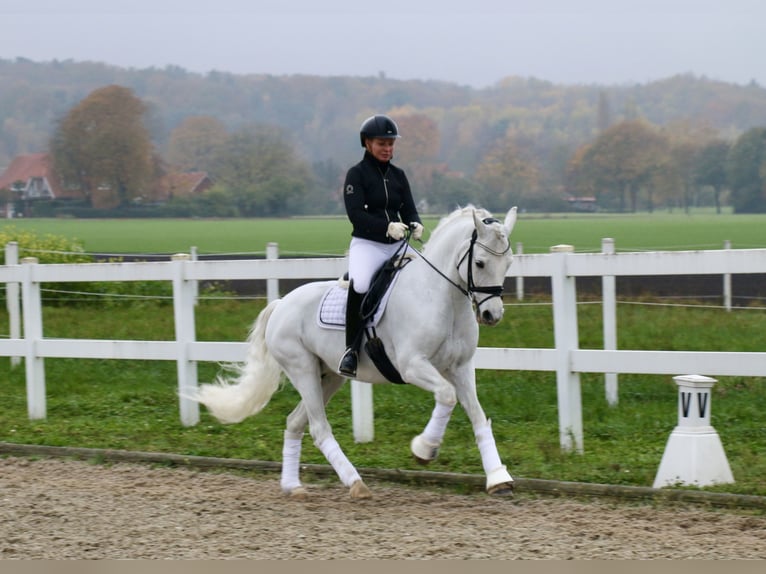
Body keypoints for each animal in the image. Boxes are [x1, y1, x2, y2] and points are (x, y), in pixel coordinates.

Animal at [192, 206, 520, 500]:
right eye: (480, 263)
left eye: (508, 264)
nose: (492, 315)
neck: (441, 295)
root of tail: (281, 303)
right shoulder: (412, 366)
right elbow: (447, 396)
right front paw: (424, 449)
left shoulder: (461, 367)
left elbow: (478, 417)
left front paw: (498, 478)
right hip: (302, 370)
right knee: (318, 428)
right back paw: (355, 483)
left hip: (329, 376)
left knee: (295, 423)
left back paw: (293, 486)